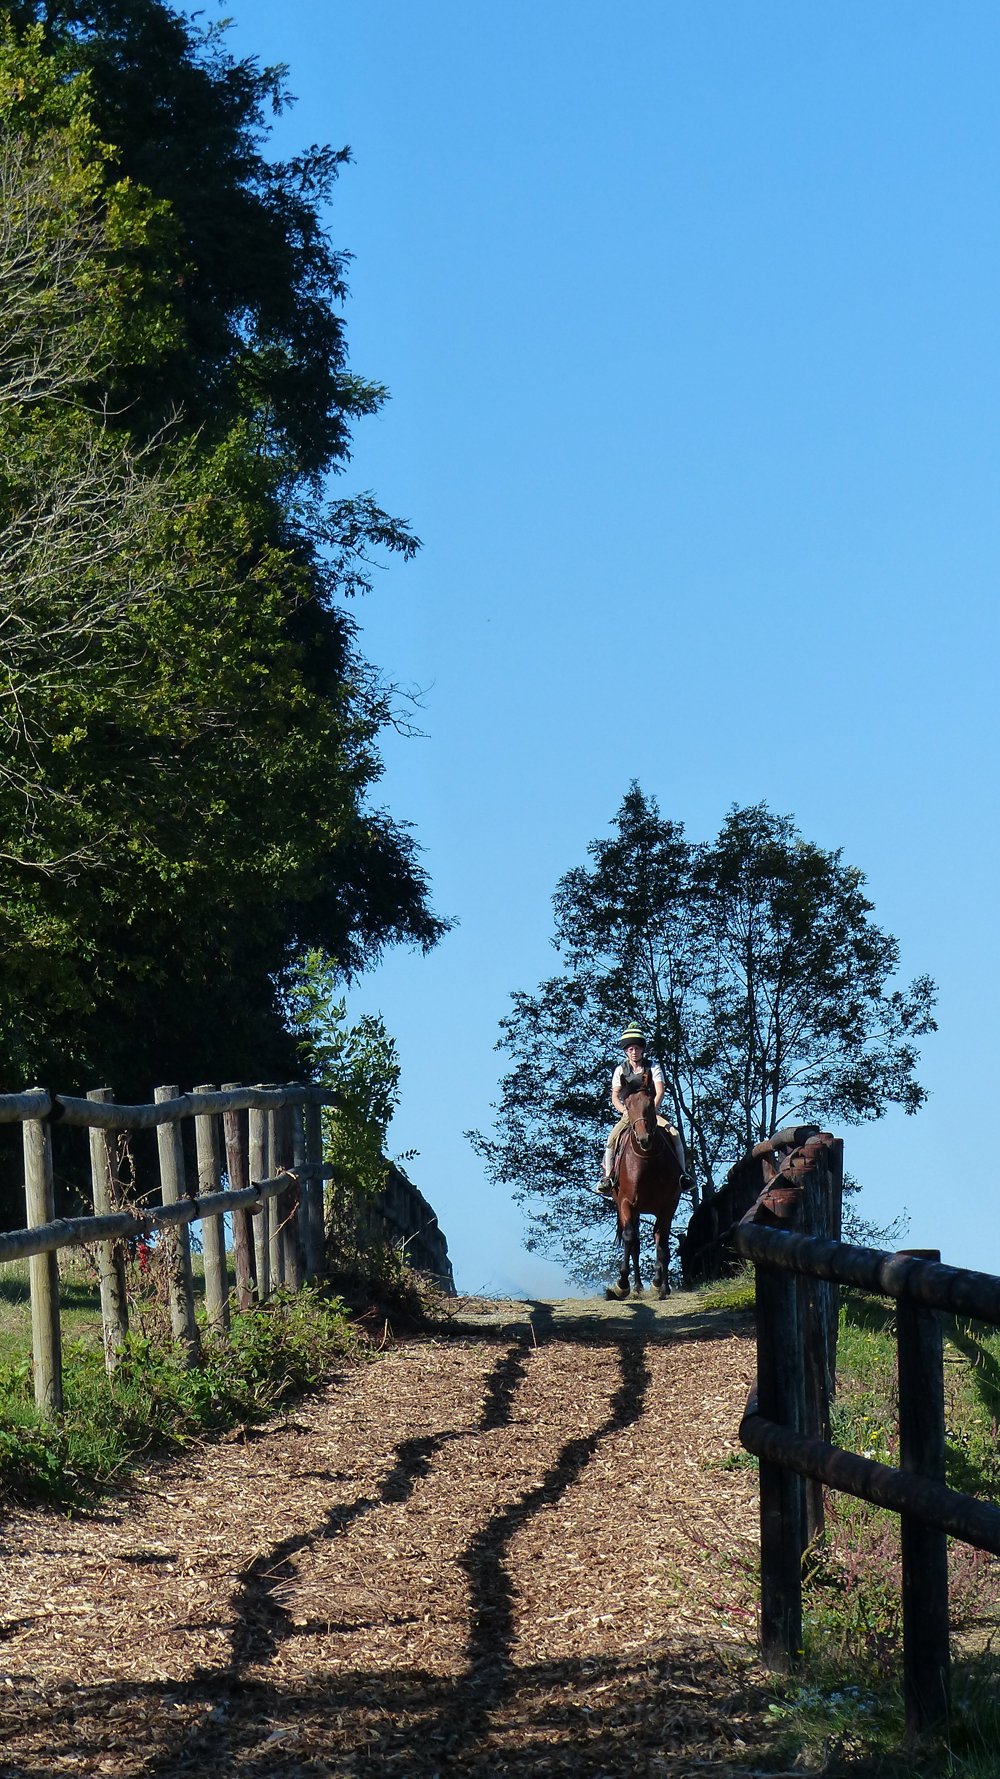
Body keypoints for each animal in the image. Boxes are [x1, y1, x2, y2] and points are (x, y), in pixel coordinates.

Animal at [604, 1068, 685, 1301]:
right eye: (628, 1104)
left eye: (649, 1103)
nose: (644, 1139)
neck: (647, 1160)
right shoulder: (626, 1203)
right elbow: (630, 1238)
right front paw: (622, 1284)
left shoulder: (668, 1206)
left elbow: (662, 1242)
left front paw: (660, 1284)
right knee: (635, 1244)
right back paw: (637, 1286)